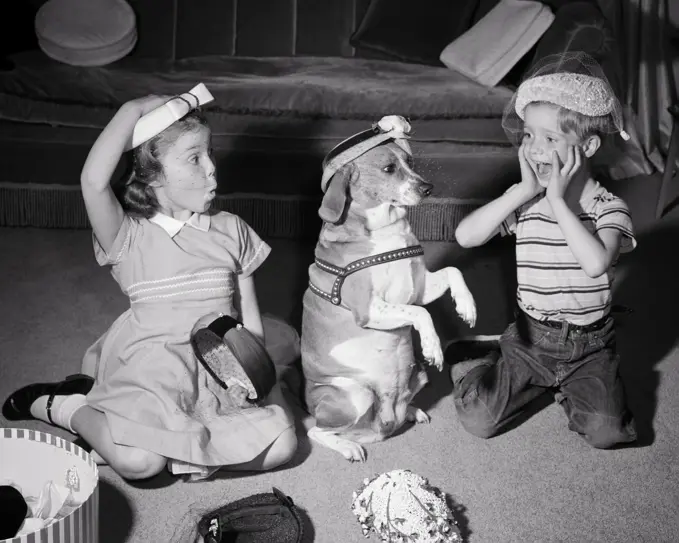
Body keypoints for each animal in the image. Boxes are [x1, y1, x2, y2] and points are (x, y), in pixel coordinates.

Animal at [300, 116, 476, 464]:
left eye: (410, 162)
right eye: (387, 169)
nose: (428, 188)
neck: (387, 230)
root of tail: (382, 426)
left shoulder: (420, 288)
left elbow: (454, 272)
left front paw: (467, 308)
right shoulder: (370, 309)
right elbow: (420, 314)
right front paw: (434, 347)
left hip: (416, 375)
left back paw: (410, 412)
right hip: (355, 395)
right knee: (318, 431)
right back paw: (349, 446)